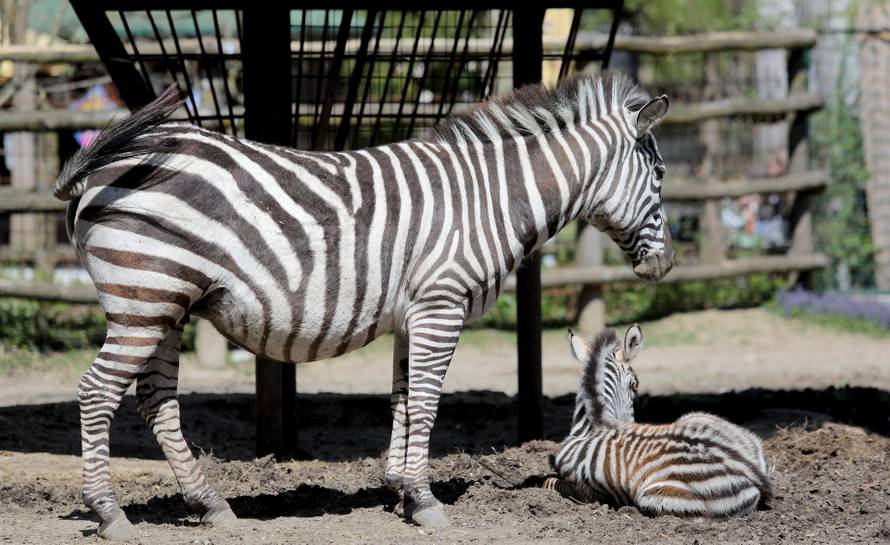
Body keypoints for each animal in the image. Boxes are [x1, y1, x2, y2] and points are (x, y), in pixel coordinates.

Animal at [57, 70, 672, 536]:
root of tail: (102, 168)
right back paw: (109, 515)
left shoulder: (411, 314)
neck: (493, 199)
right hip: (144, 298)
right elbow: (426, 403)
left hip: (164, 307)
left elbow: (402, 398)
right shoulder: (441, 303)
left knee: (156, 401)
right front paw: (425, 502)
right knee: (97, 392)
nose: (664, 267)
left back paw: (211, 506)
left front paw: (399, 490)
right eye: (661, 175)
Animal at [544, 326, 768, 516]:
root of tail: (749, 470)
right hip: (700, 418)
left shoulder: (581, 491)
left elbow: (550, 482)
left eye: (635, 386)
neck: (597, 422)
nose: (630, 421)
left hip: (656, 494)